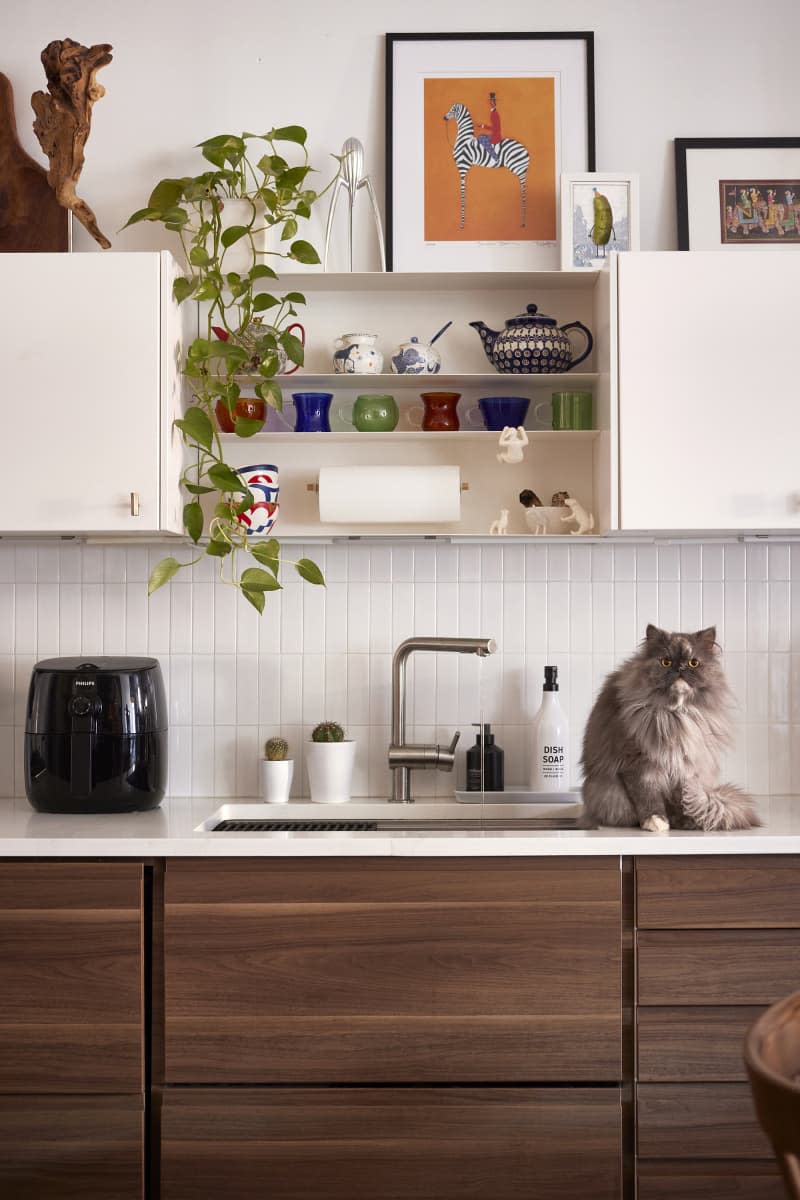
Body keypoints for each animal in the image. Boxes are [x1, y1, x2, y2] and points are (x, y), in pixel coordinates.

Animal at [582, 624, 758, 830]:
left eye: (693, 663)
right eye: (666, 662)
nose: (680, 668)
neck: (675, 715)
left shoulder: (684, 767)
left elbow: (682, 799)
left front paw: (686, 820)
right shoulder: (637, 765)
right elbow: (647, 797)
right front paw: (655, 821)